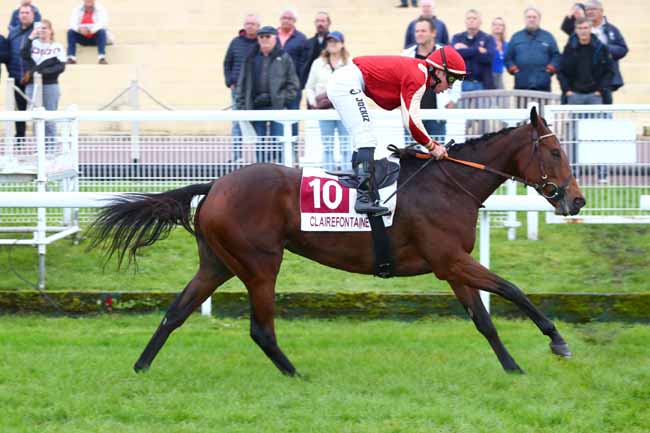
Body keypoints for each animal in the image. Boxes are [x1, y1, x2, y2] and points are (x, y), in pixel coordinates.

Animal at [92, 107, 588, 374]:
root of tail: (214, 185)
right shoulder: (450, 260)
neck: (450, 184)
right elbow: (512, 289)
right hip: (259, 263)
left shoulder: (450, 266)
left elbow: (483, 319)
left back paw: (140, 368)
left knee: (174, 313)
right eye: (555, 151)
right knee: (261, 329)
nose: (577, 200)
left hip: (216, 263)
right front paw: (557, 341)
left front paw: (512, 366)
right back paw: (296, 375)